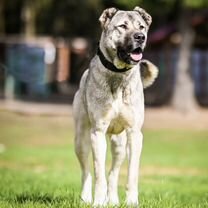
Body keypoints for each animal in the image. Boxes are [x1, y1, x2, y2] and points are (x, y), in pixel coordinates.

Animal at [72, 6, 158, 206]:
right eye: (122, 26)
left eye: (141, 27)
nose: (140, 37)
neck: (118, 75)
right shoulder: (97, 132)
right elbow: (98, 173)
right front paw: (98, 202)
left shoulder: (134, 134)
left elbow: (131, 173)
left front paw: (132, 202)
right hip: (81, 139)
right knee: (86, 171)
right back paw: (87, 198)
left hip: (119, 144)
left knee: (113, 173)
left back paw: (113, 200)